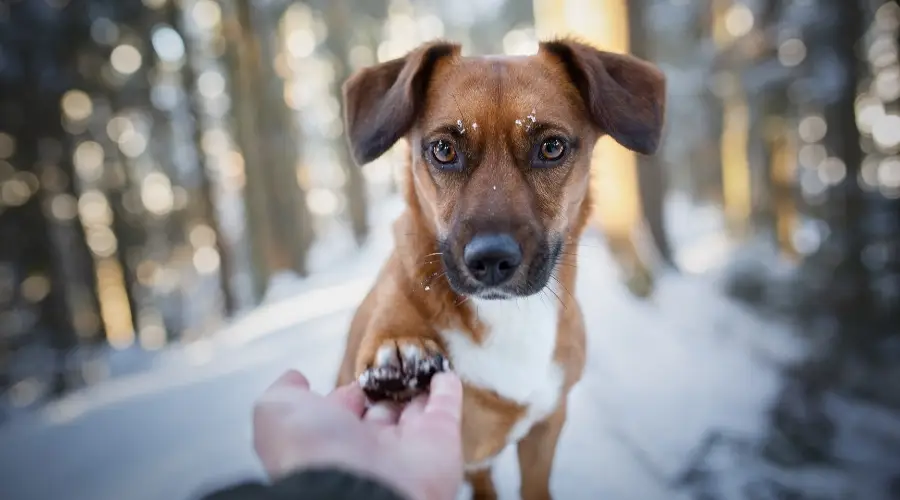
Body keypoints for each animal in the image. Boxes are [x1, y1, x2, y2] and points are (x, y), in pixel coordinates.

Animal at [334, 37, 664, 498]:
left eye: (551, 147)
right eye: (444, 150)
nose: (490, 260)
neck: (504, 317)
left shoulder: (546, 427)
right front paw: (399, 349)